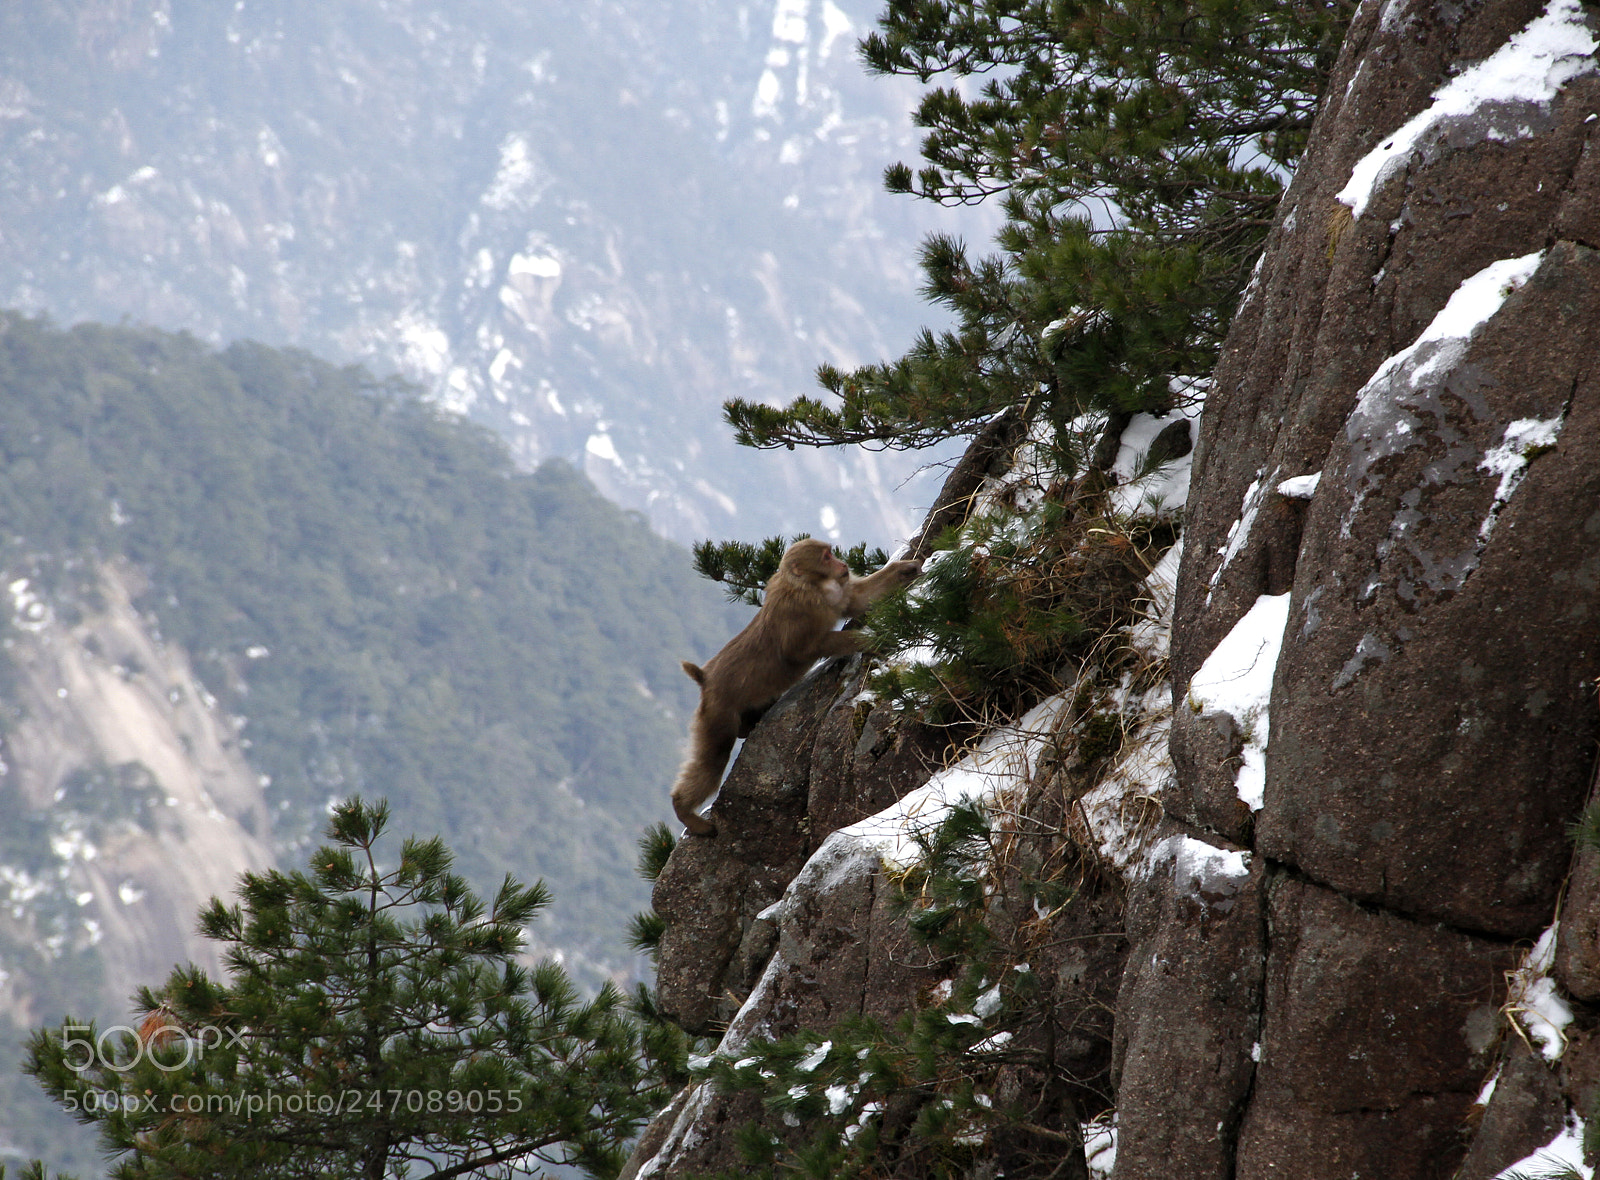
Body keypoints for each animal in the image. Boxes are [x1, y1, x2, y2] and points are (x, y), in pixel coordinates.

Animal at [671, 538, 922, 836]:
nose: (842, 565)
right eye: (826, 557)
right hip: (717, 715)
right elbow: (803, 649)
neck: (812, 586)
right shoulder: (799, 610)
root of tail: (705, 678)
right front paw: (870, 639)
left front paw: (906, 569)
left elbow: (857, 600)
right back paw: (686, 813)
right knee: (713, 759)